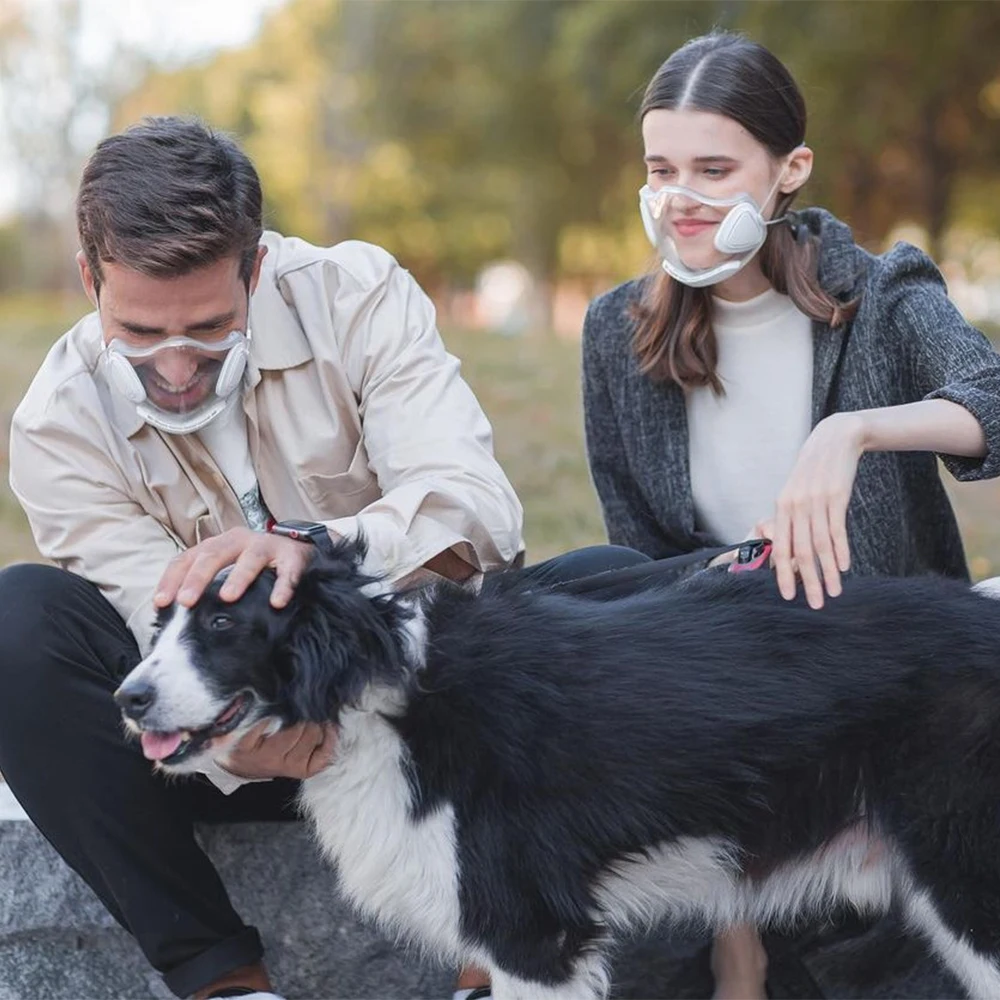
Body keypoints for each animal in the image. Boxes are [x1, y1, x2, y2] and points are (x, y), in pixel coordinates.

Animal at [117, 544, 1000, 996]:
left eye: (224, 622)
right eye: (159, 625)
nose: (127, 699)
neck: (385, 697)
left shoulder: (532, 937)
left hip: (966, 887)